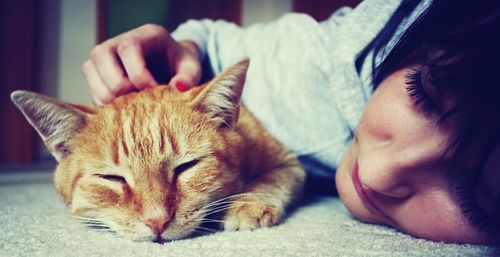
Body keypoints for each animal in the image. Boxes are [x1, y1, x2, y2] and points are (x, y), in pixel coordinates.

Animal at [9, 59, 304, 241]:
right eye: (112, 178)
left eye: (186, 167)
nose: (157, 222)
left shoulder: (289, 163)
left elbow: (270, 180)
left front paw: (247, 204)